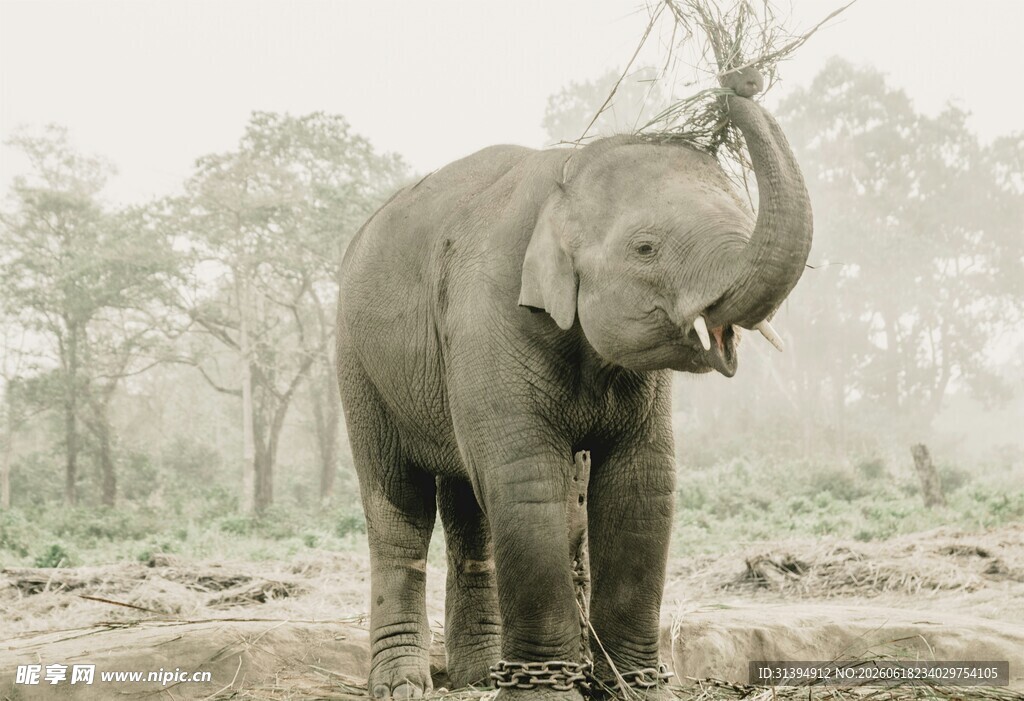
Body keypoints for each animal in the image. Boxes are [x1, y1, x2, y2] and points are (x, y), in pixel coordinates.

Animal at [336, 66, 812, 700]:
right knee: (398, 504)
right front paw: (548, 691)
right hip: (357, 365)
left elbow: (643, 486)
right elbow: (526, 479)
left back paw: (481, 675)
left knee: (471, 511)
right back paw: (403, 686)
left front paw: (637, 688)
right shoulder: (487, 313)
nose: (741, 78)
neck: (564, 179)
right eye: (645, 248)